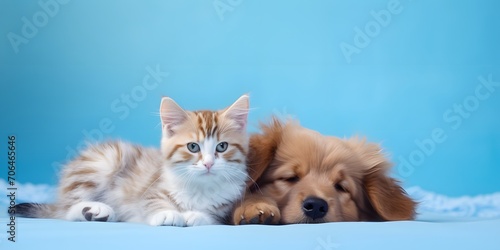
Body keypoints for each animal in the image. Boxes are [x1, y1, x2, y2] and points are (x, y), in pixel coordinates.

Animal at [14, 94, 250, 227]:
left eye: (222, 147)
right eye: (193, 147)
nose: (208, 164)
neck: (200, 188)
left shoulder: (225, 208)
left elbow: (212, 216)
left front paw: (196, 216)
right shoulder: (151, 189)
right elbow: (153, 202)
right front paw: (168, 213)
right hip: (106, 159)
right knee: (64, 210)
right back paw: (94, 209)